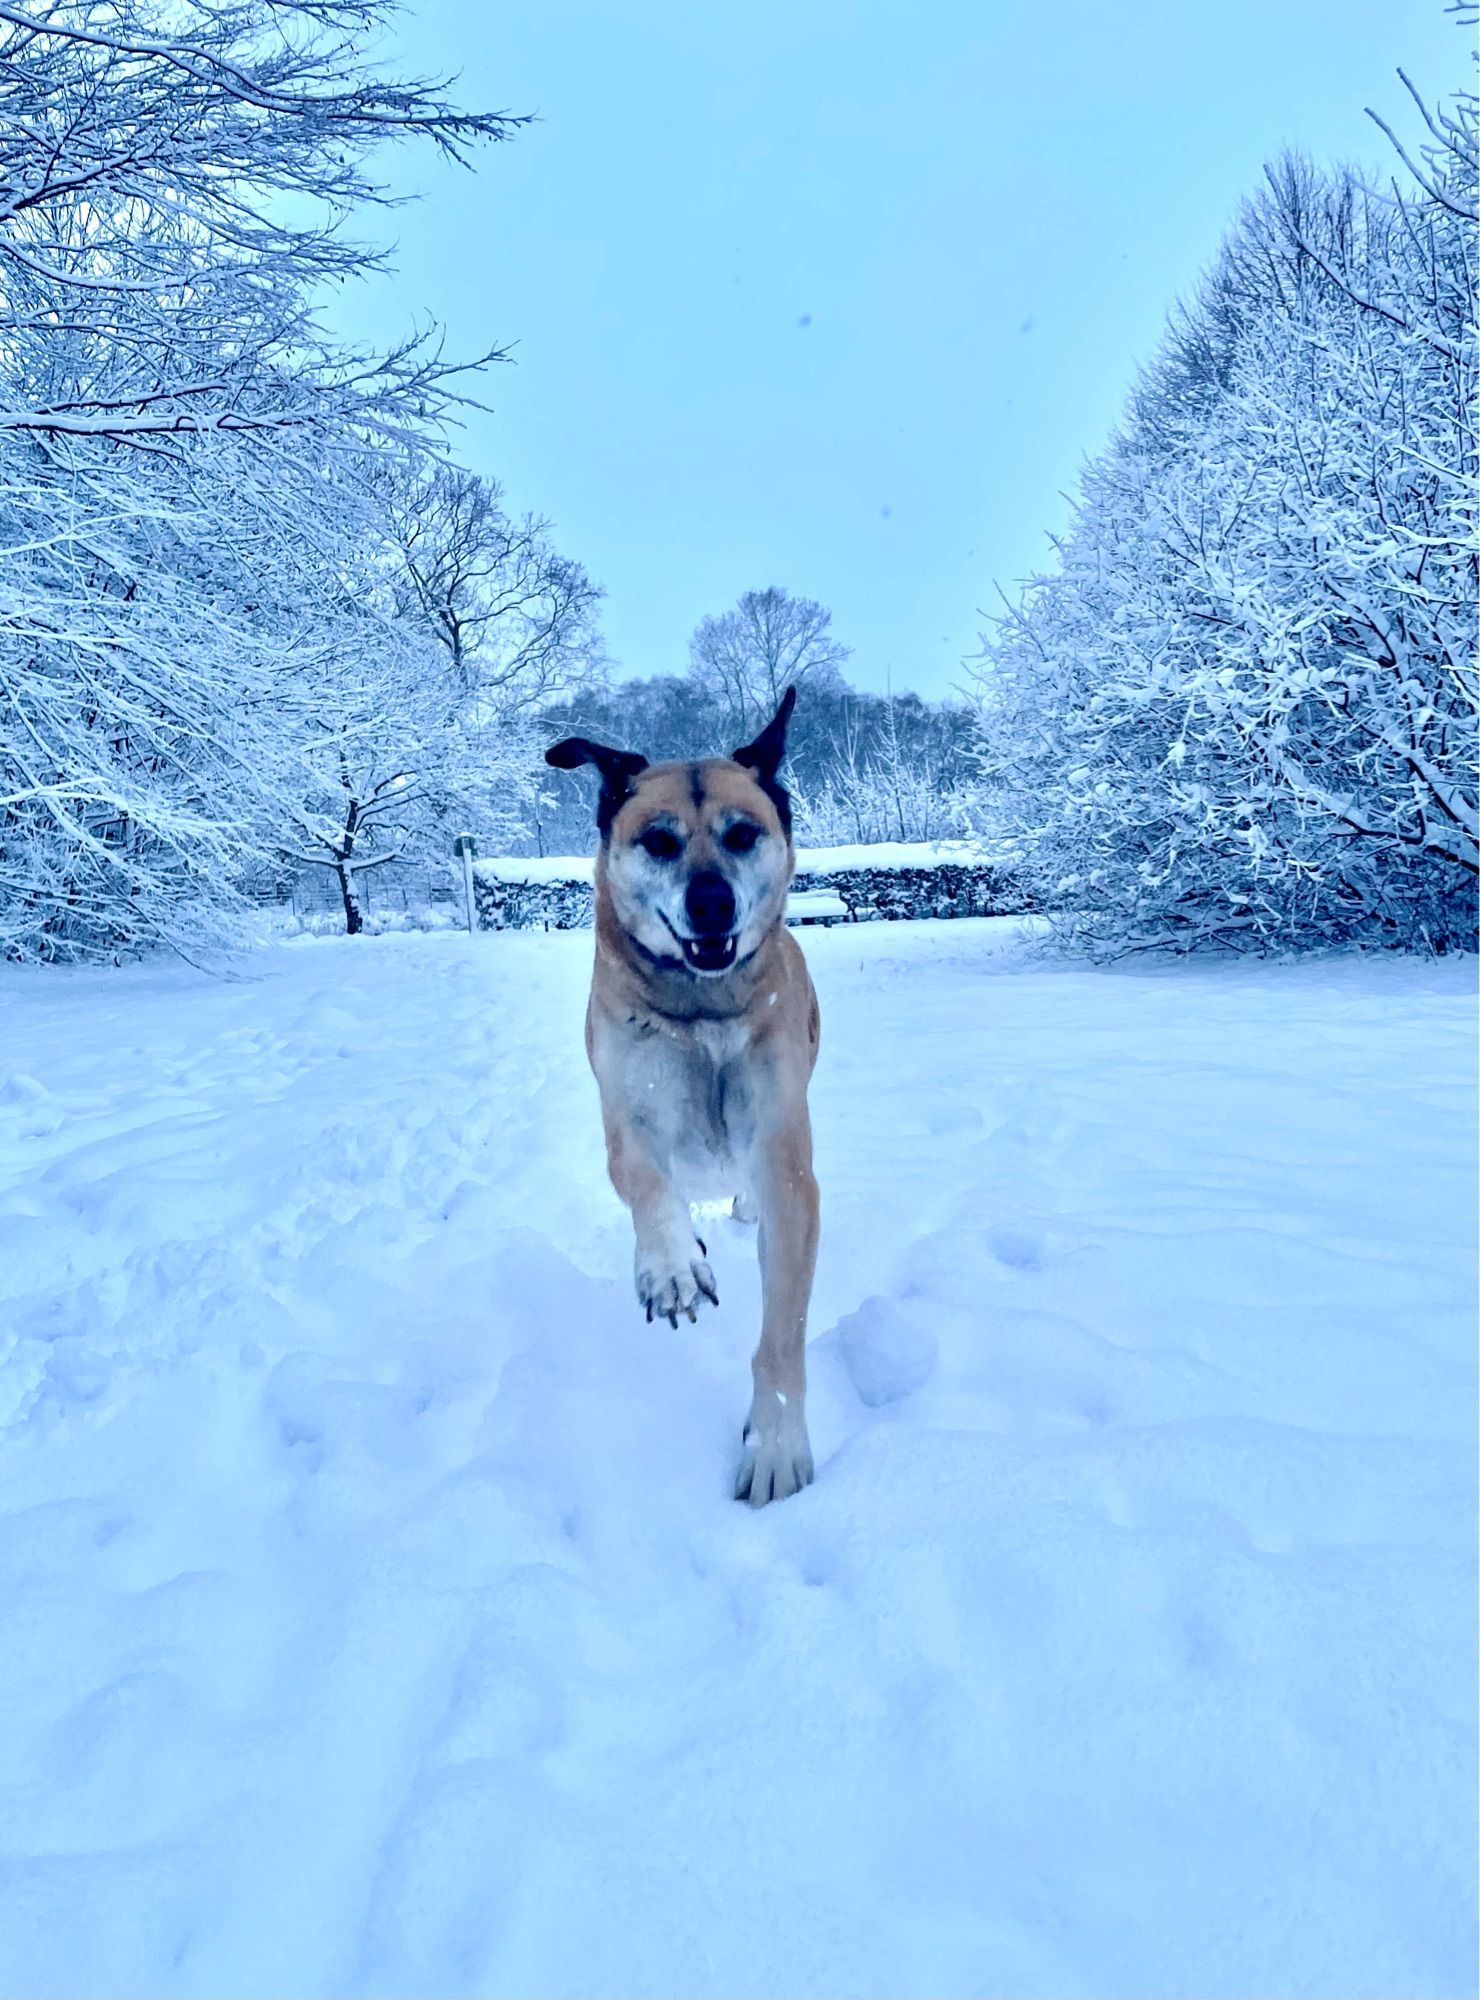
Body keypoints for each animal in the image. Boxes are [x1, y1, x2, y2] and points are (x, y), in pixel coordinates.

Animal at [548, 688, 820, 1504]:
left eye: (742, 834)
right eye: (659, 842)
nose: (711, 903)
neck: (700, 1011)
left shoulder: (785, 1158)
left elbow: (781, 1336)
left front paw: (776, 1445)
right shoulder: (628, 1117)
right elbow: (646, 1182)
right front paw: (670, 1268)